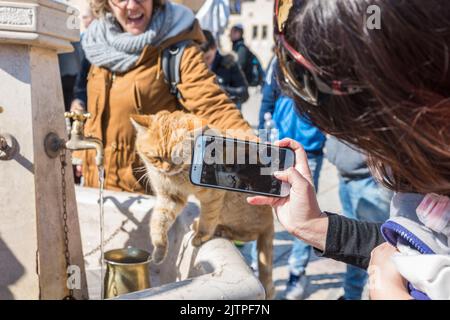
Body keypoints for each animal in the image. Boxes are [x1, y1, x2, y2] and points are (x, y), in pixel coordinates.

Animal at [131, 111, 274, 298]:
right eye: (156, 158)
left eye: (178, 158)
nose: (167, 169)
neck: (178, 177)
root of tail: (271, 217)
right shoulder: (169, 198)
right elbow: (158, 223)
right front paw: (159, 250)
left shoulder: (212, 196)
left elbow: (208, 218)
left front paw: (201, 235)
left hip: (233, 205)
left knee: (249, 234)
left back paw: (220, 229)